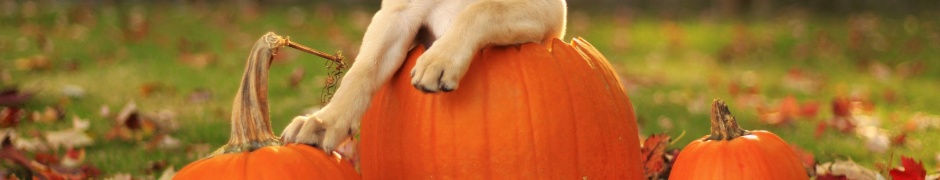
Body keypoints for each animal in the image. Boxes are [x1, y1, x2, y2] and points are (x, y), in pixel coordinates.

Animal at [280, 0, 564, 153]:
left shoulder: (546, 8)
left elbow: (483, 8)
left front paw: (439, 60)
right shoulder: (396, 14)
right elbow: (362, 70)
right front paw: (324, 121)